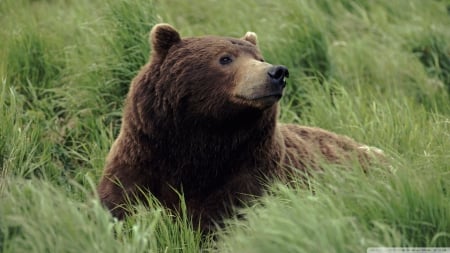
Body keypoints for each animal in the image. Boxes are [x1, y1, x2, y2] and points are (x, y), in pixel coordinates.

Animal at [97, 23, 380, 231]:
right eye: (225, 58)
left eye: (259, 57)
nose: (277, 72)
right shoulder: (144, 158)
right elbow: (123, 205)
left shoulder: (249, 171)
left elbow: (230, 215)